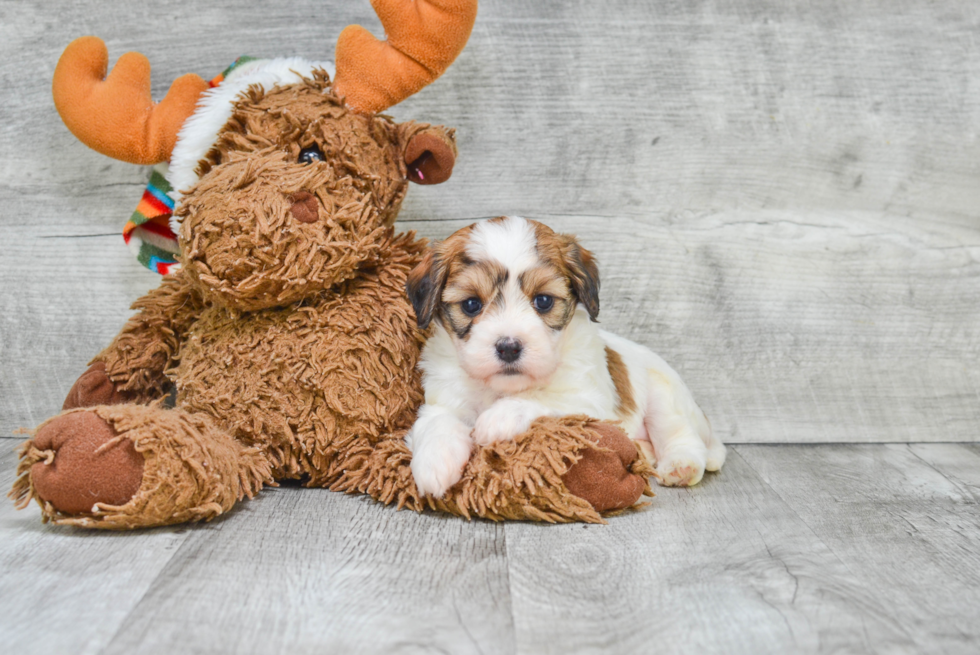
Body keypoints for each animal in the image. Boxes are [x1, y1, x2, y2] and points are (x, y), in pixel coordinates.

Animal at [406, 217, 728, 498]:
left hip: (664, 393)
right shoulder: (444, 399)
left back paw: (681, 464)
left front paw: (499, 417)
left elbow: (543, 398)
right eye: (471, 304)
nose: (508, 347)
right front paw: (434, 463)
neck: (502, 388)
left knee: (678, 432)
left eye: (543, 301)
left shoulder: (590, 401)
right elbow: (437, 421)